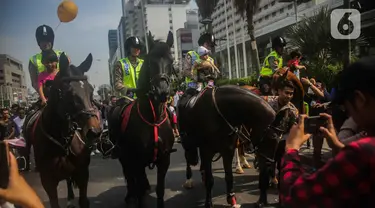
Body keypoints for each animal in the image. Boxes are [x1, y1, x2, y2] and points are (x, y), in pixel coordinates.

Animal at [23, 52, 103, 207]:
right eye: (69, 93)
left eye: (91, 90)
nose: (94, 132)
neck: (62, 140)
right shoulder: (48, 181)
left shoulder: (83, 173)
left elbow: (83, 201)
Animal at [108, 32, 176, 208]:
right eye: (151, 61)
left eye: (171, 61)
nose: (162, 92)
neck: (153, 117)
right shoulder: (136, 159)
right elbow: (139, 192)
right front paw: (136, 196)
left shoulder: (164, 159)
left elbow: (160, 190)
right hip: (124, 156)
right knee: (128, 174)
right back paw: (130, 195)